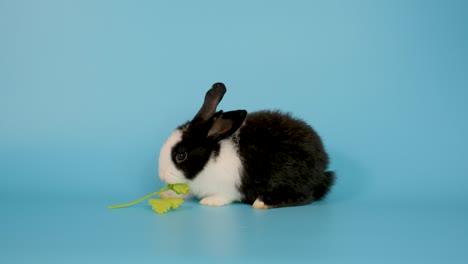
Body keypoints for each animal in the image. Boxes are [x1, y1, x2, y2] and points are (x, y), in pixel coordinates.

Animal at [159, 82, 334, 208]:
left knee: (306, 196)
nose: (161, 176)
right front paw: (167, 195)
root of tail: (323, 166)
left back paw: (261, 202)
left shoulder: (227, 189)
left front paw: (210, 201)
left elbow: (223, 196)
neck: (208, 161)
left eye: (181, 155)